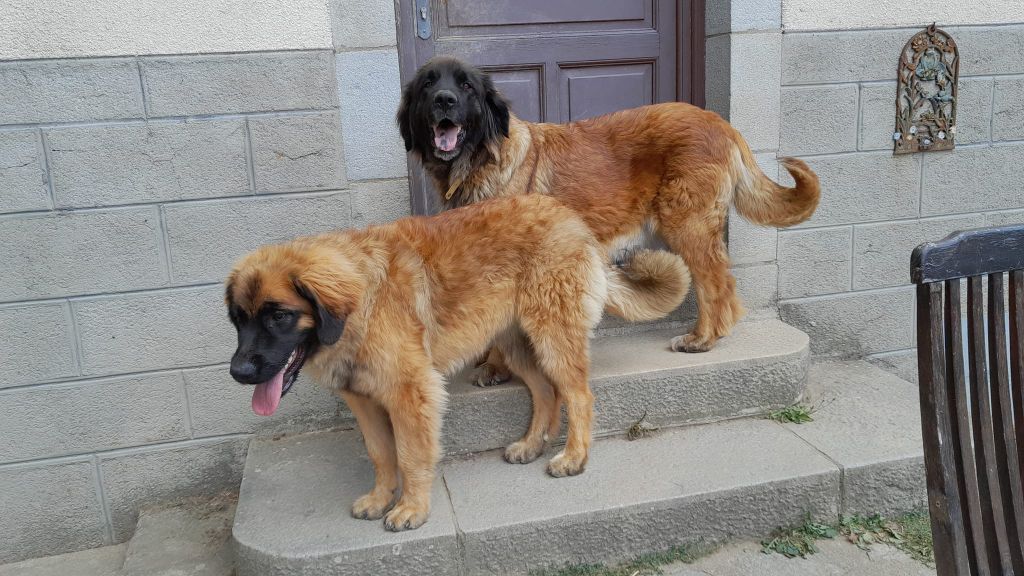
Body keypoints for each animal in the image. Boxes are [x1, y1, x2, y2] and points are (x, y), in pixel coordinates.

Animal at [225, 194, 690, 531]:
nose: (239, 372)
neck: (361, 302)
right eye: (238, 319)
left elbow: (410, 454)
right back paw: (532, 444)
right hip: (519, 344)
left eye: (279, 316)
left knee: (578, 396)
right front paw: (380, 498)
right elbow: (380, 454)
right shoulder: (364, 401)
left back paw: (573, 457)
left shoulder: (412, 394)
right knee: (546, 392)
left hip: (552, 337)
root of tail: (570, 217)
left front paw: (411, 507)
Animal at [397, 56, 821, 379]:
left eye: (466, 85)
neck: (478, 162)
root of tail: (721, 123)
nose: (444, 100)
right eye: (428, 84)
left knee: (715, 285)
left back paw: (702, 339)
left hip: (686, 225)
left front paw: (498, 366)